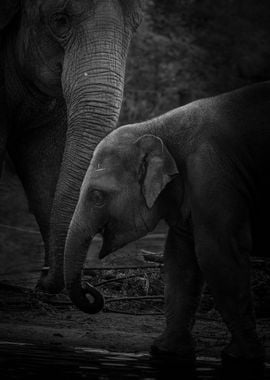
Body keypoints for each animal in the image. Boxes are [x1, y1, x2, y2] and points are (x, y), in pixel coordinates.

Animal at [63, 81, 270, 366]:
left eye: (97, 196)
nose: (90, 288)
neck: (156, 127)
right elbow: (180, 258)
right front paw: (167, 352)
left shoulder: (213, 173)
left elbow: (217, 254)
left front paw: (241, 358)